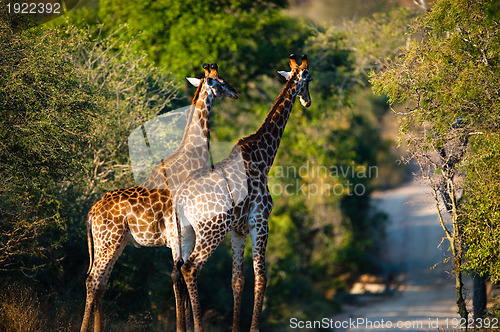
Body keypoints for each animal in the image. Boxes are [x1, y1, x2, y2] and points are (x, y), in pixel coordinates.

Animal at [80, 63, 240, 332]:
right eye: (221, 81)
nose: (236, 93)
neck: (192, 156)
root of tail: (91, 214)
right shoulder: (178, 235)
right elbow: (178, 275)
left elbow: (179, 274)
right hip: (107, 241)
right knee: (93, 279)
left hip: (115, 243)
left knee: (101, 281)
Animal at [174, 54, 310, 332]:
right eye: (309, 79)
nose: (308, 101)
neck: (264, 157)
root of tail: (180, 201)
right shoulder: (260, 221)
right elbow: (261, 277)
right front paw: (254, 328)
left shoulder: (237, 230)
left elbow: (237, 281)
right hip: (211, 231)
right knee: (191, 268)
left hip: (186, 233)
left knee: (178, 270)